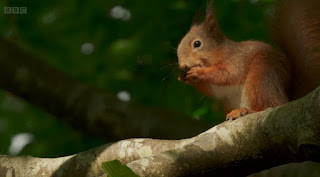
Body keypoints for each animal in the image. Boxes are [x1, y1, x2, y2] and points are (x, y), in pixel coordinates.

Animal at [176, 0, 320, 120]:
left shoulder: (236, 60)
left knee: (270, 105)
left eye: (197, 44)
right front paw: (183, 77)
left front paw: (199, 73)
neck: (218, 53)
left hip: (262, 74)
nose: (183, 66)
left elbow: (229, 74)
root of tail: (288, 100)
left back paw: (245, 111)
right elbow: (212, 89)